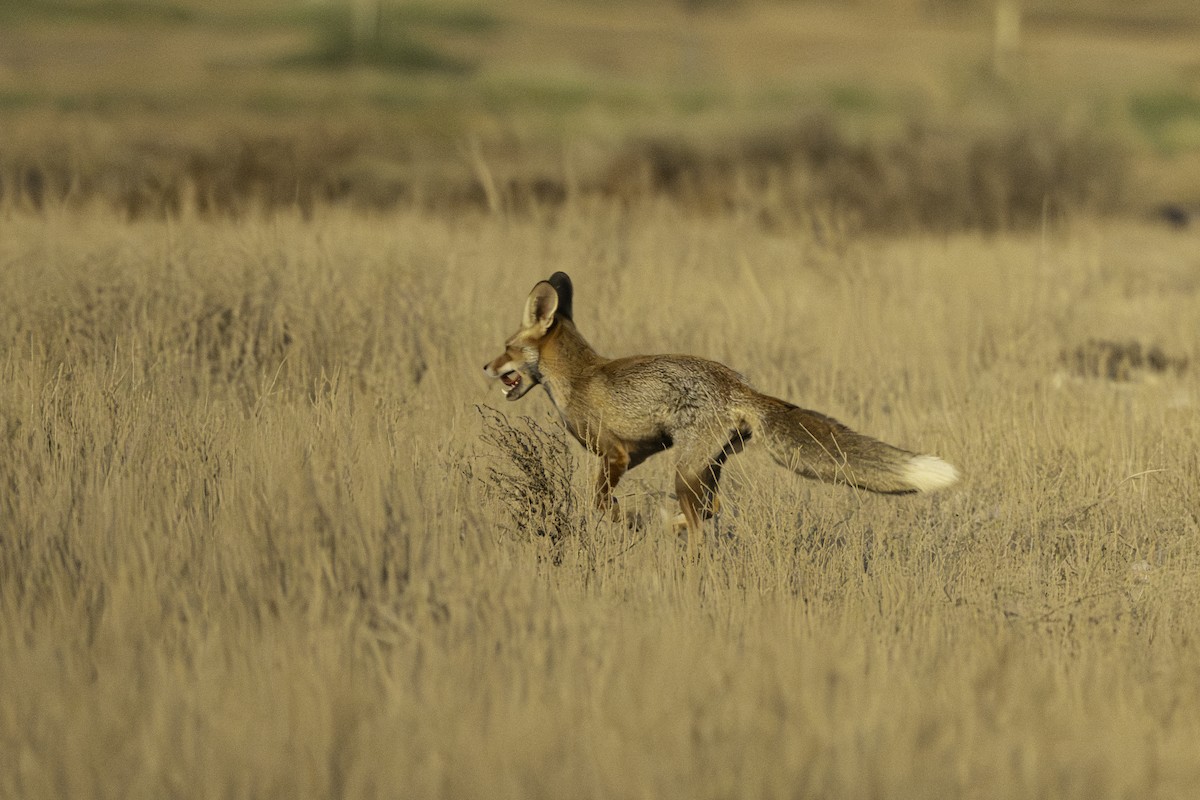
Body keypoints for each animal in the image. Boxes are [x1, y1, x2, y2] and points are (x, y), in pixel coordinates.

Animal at [484, 272, 958, 552]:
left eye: (506, 347)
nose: (486, 366)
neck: (578, 376)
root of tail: (740, 386)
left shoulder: (614, 453)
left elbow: (601, 502)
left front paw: (630, 522)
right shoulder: (636, 453)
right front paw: (637, 521)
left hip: (685, 471)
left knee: (701, 525)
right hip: (705, 467)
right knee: (712, 510)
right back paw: (672, 528)